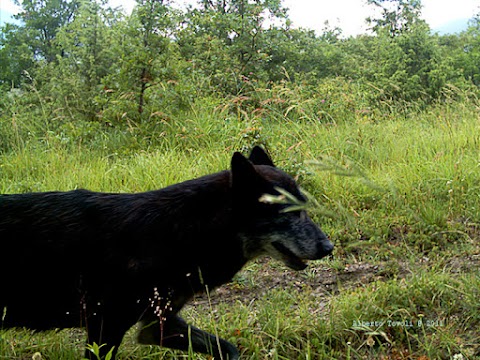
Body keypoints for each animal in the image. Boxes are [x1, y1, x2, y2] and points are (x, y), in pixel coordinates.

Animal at [0, 146, 332, 358]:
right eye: (291, 212)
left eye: (305, 207)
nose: (328, 247)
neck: (176, 232)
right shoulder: (105, 326)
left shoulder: (158, 326)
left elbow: (229, 349)